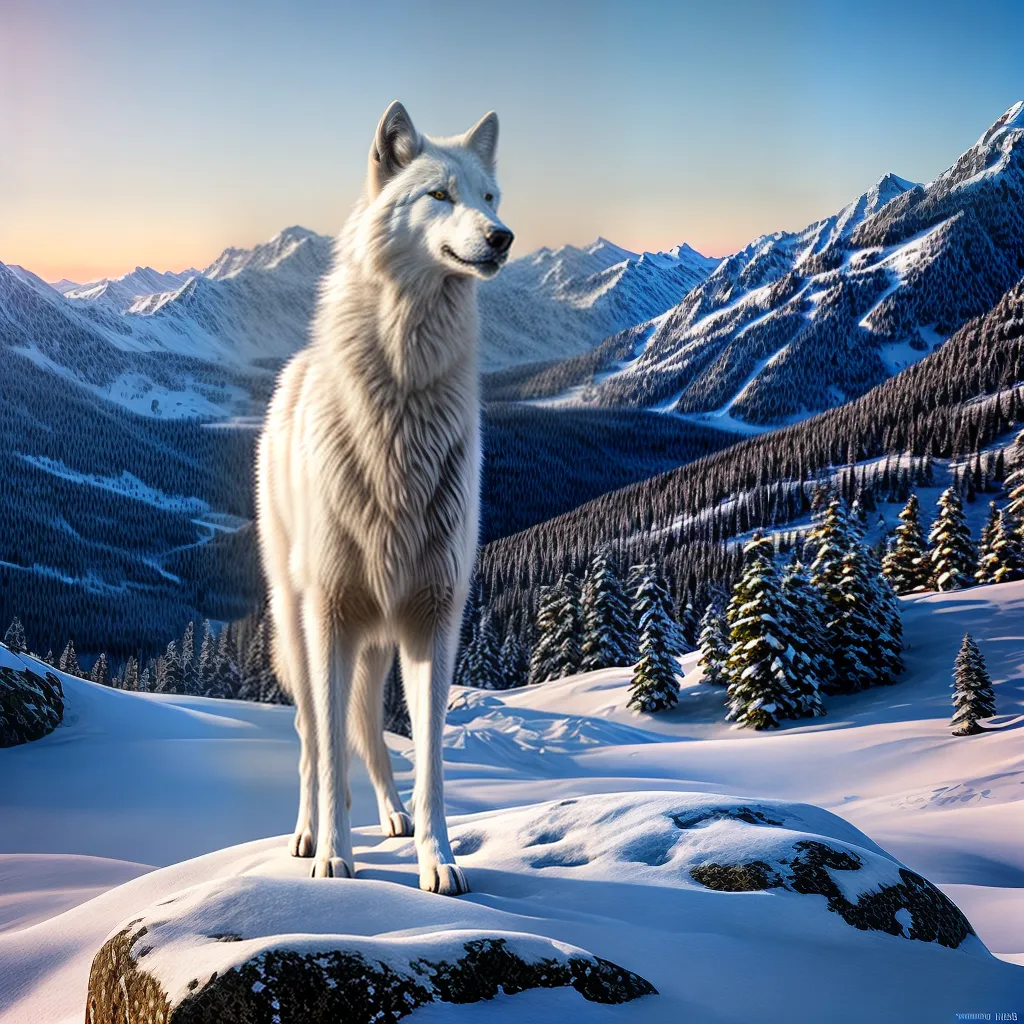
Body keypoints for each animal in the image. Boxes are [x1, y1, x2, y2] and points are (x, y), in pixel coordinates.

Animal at [255, 101, 513, 896]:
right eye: (439, 195)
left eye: (490, 196)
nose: (502, 237)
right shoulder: (332, 614)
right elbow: (329, 753)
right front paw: (336, 859)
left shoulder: (435, 616)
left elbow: (430, 761)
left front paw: (439, 861)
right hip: (301, 627)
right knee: (315, 739)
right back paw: (309, 833)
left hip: (375, 640)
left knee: (367, 729)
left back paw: (393, 821)